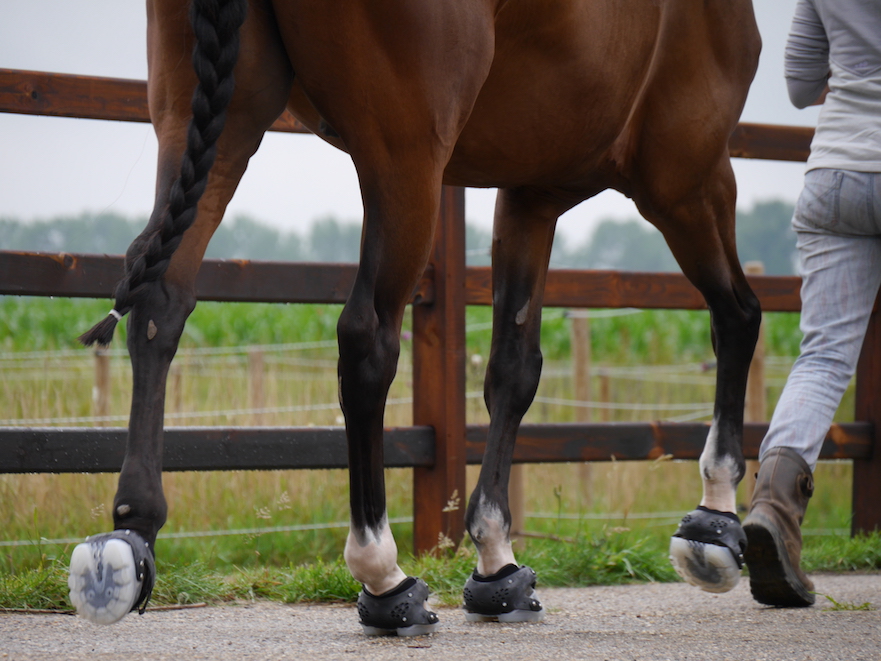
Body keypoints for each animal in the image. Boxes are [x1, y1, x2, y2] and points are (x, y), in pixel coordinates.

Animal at [70, 0, 756, 632]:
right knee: (367, 335)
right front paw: (714, 520)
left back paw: (129, 537)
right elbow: (737, 316)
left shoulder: (532, 193)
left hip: (212, 112)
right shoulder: (687, 172)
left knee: (161, 299)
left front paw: (497, 564)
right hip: (408, 160)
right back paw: (383, 574)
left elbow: (514, 370)